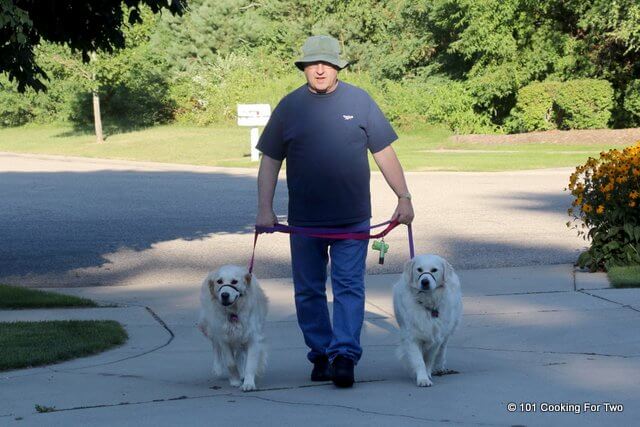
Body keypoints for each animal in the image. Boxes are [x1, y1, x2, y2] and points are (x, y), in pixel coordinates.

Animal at [392, 254, 462, 388]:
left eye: (434, 270)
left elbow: (429, 359)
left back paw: (439, 367)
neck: (427, 301)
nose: (425, 281)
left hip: (448, 329)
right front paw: (422, 378)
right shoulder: (412, 337)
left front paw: (428, 374)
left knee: (442, 350)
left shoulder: (436, 337)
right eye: (419, 269)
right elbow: (419, 361)